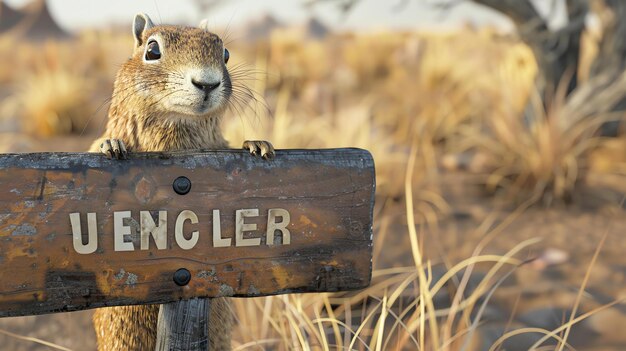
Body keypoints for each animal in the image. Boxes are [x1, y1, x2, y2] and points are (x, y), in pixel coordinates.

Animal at [88, 12, 272, 350]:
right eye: (152, 50)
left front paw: (256, 144)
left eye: (226, 54)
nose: (207, 82)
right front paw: (111, 145)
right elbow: (101, 144)